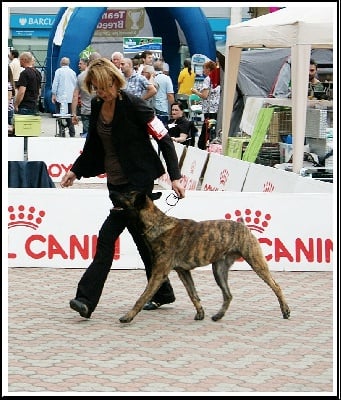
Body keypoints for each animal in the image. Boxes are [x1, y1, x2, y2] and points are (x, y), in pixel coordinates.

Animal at [109, 191, 290, 324]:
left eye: (126, 194)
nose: (112, 191)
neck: (157, 223)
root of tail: (243, 225)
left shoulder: (159, 274)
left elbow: (142, 297)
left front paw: (128, 316)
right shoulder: (183, 272)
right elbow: (193, 294)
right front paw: (200, 313)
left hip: (256, 263)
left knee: (276, 286)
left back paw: (286, 310)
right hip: (219, 271)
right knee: (228, 295)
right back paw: (218, 315)